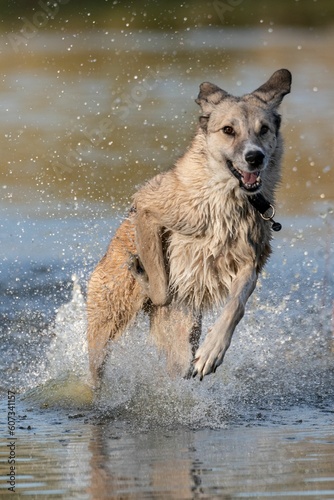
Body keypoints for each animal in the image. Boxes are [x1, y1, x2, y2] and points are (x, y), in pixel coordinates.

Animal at [87, 67, 292, 386]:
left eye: (264, 129)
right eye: (228, 130)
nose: (254, 157)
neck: (225, 197)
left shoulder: (251, 261)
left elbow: (236, 306)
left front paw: (211, 352)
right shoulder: (148, 206)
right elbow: (162, 288)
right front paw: (146, 276)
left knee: (179, 365)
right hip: (106, 319)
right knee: (97, 366)